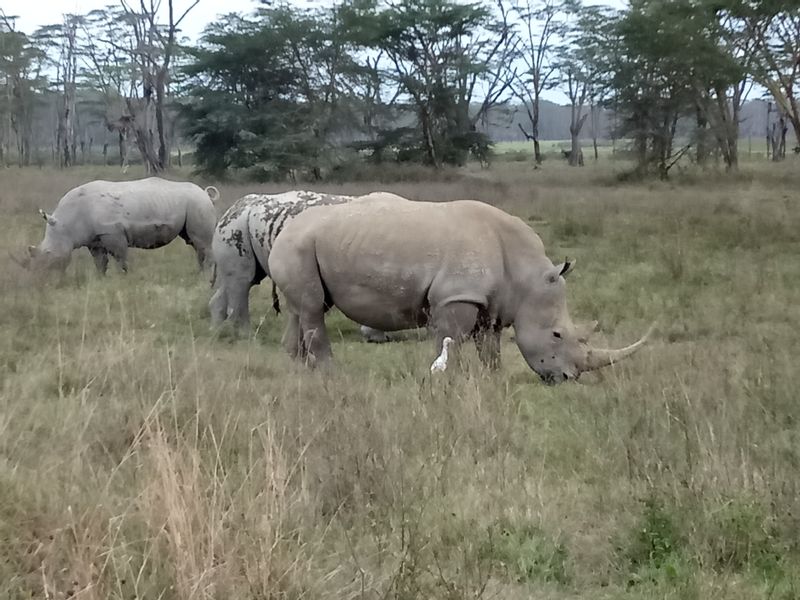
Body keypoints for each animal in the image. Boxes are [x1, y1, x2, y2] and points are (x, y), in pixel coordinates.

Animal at [12, 176, 219, 274]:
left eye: (48, 253)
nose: (41, 277)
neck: (67, 223)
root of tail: (205, 193)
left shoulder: (111, 232)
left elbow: (120, 259)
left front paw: (122, 278)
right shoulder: (94, 239)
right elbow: (100, 263)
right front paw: (100, 280)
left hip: (197, 203)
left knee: (201, 242)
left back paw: (205, 276)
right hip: (192, 204)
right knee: (194, 242)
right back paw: (200, 273)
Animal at [208, 192, 392, 342]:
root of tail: (234, 207)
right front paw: (376, 337)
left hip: (241, 225)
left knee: (242, 280)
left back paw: (218, 333)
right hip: (235, 226)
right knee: (242, 282)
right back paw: (246, 337)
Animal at [268, 193, 648, 384]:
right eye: (556, 335)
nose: (568, 377)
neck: (526, 275)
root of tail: (283, 229)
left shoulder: (492, 303)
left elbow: (490, 345)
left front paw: (493, 378)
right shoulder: (456, 295)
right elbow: (449, 340)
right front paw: (449, 378)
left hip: (301, 247)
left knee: (301, 309)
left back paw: (299, 370)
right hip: (298, 245)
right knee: (313, 309)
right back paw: (332, 374)